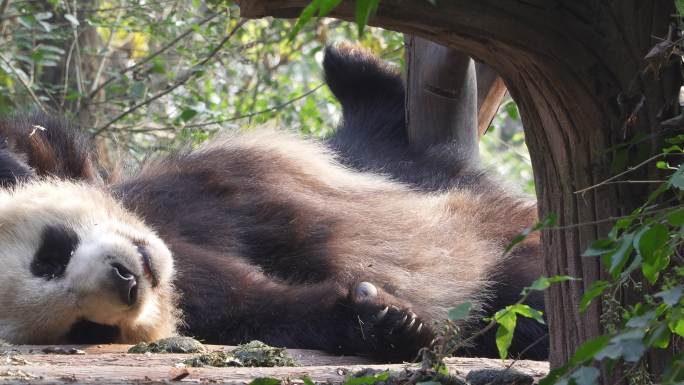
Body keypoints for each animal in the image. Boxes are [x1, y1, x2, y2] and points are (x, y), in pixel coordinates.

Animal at [0, 46, 548, 362]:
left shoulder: (125, 180)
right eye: (86, 325)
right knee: (526, 303)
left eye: (52, 254)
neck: (169, 243)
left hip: (407, 173)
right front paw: (387, 321)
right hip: (501, 288)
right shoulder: (209, 308)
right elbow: (271, 310)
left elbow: (37, 139)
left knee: (379, 138)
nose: (127, 280)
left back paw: (351, 67)